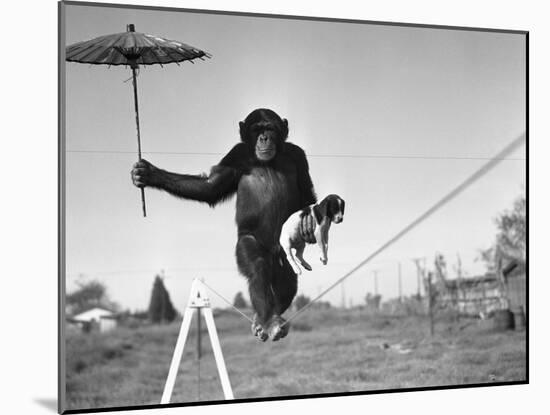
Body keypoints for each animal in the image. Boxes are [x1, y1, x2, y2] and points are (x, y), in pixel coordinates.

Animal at [131, 109, 316, 342]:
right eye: (257, 129)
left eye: (270, 128)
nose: (264, 138)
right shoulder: (235, 156)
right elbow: (211, 186)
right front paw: (147, 174)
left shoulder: (298, 155)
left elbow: (306, 192)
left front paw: (308, 222)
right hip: (250, 242)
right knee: (258, 266)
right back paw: (268, 321)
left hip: (283, 254)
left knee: (288, 281)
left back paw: (264, 319)